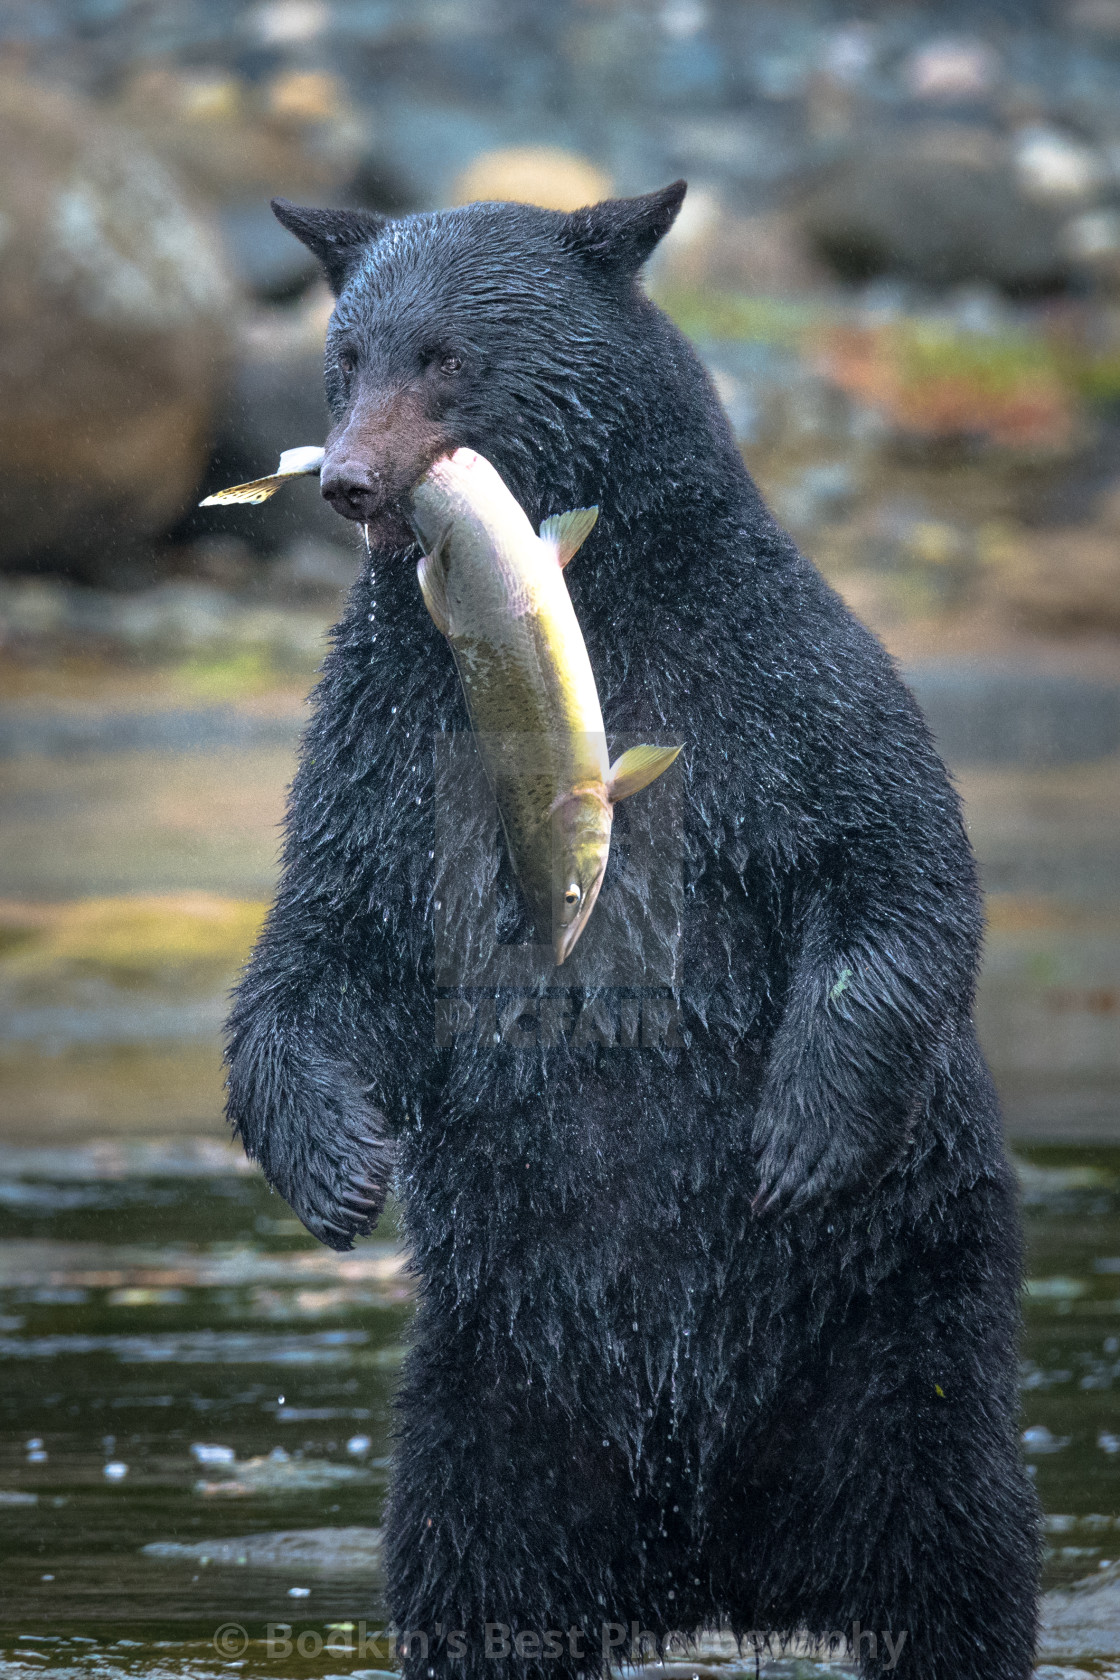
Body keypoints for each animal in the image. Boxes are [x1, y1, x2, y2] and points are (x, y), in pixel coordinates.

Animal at [228, 183, 1041, 1680]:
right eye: (347, 355)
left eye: (445, 354)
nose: (349, 482)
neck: (580, 607)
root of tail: (714, 1570)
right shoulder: (387, 729)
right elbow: (333, 938)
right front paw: (337, 1168)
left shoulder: (768, 673)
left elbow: (890, 862)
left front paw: (797, 1132)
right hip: (498, 1401)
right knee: (469, 1572)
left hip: (892, 1330)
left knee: (952, 1550)